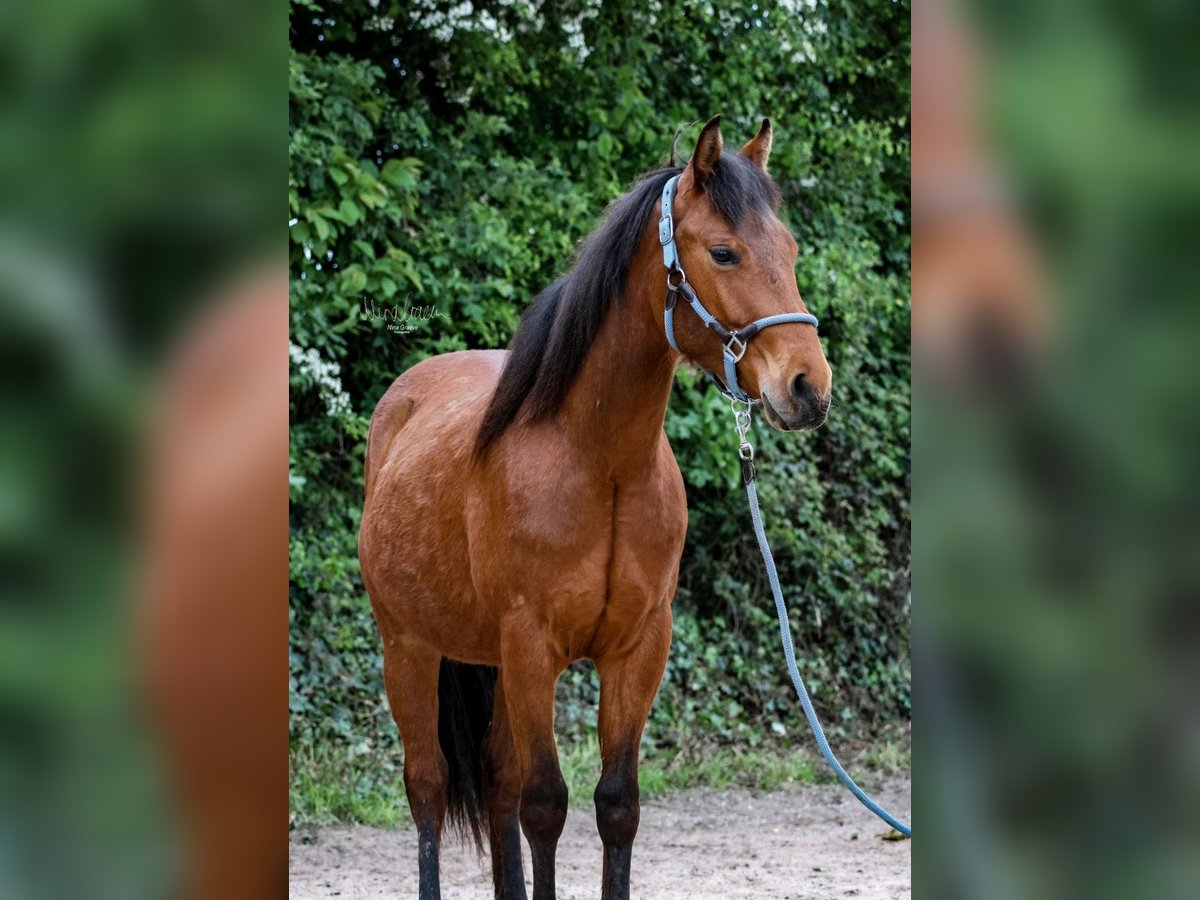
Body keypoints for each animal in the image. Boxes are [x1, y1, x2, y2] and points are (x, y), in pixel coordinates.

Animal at [357, 118, 835, 900]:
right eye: (723, 252)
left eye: (790, 250)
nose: (808, 387)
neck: (599, 462)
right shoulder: (531, 647)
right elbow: (546, 805)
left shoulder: (638, 650)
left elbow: (615, 805)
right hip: (410, 649)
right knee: (427, 785)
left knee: (495, 778)